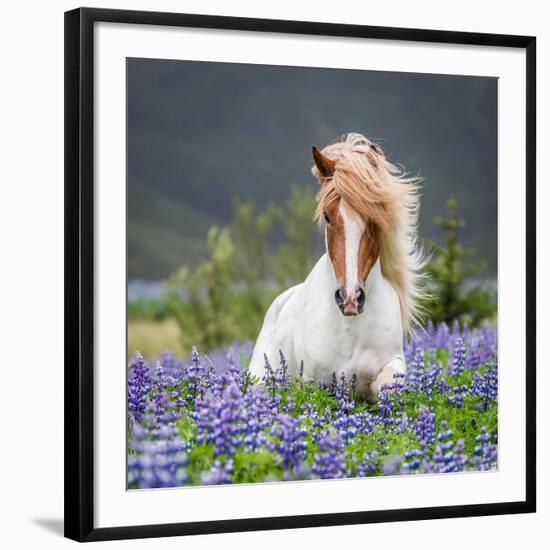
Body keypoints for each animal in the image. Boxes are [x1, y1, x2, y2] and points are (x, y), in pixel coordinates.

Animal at [250, 132, 426, 404]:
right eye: (327, 216)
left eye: (374, 219)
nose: (350, 298)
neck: (349, 327)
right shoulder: (315, 382)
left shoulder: (391, 364)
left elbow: (388, 389)